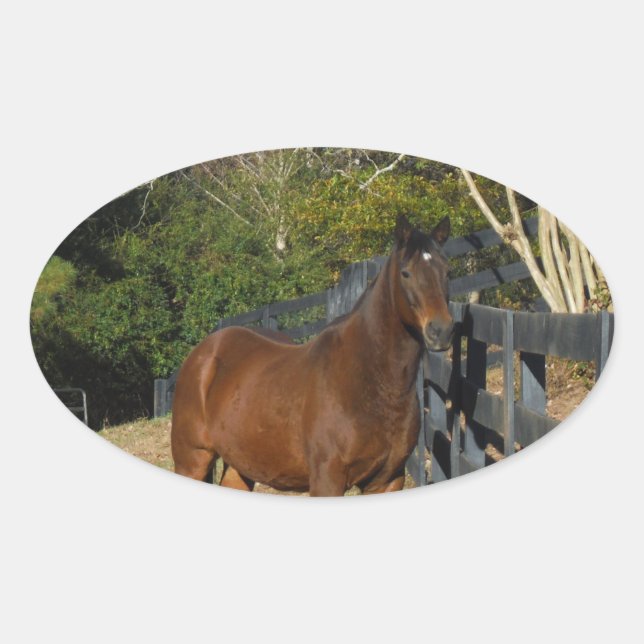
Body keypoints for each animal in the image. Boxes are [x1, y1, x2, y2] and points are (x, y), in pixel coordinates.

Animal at [171, 214, 454, 496]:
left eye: (446, 271)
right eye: (406, 273)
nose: (441, 330)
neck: (370, 381)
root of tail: (203, 354)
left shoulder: (387, 480)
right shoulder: (327, 479)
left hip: (239, 464)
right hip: (192, 460)